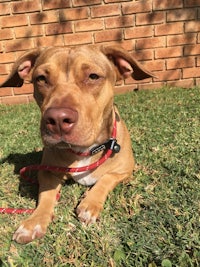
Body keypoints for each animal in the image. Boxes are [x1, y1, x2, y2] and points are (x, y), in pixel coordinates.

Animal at [0, 45, 153, 244]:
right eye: (41, 79)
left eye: (93, 76)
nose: (57, 119)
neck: (87, 151)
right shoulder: (47, 171)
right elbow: (46, 195)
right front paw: (34, 222)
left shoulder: (125, 170)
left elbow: (106, 178)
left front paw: (89, 203)